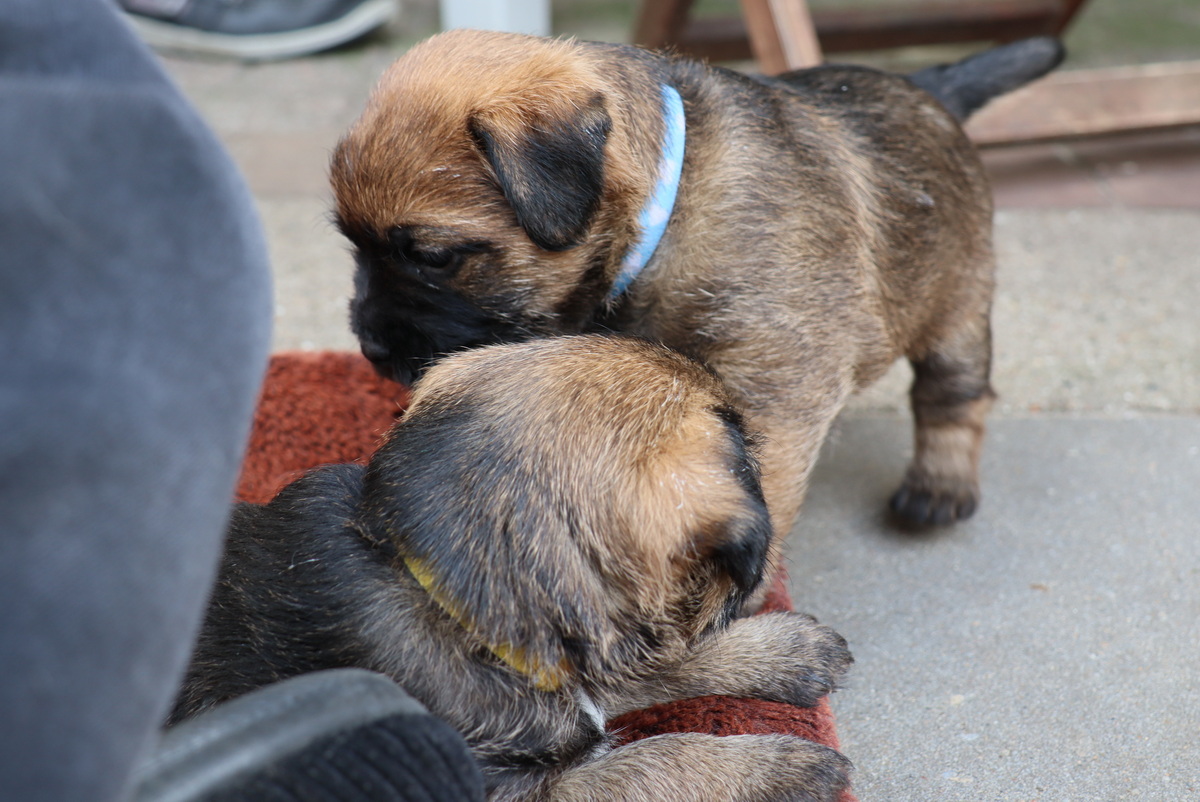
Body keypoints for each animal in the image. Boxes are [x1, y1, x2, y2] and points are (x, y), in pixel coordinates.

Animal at [330, 31, 1064, 564]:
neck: (666, 209)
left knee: (953, 396)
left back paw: (939, 487)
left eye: (432, 257)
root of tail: (928, 85)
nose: (371, 348)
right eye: (351, 245)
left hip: (958, 302)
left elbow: (757, 496)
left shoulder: (775, 397)